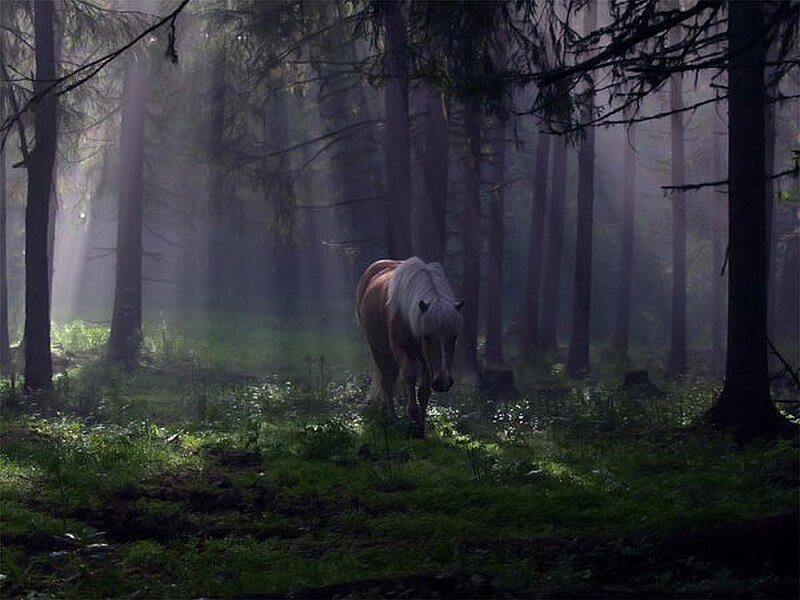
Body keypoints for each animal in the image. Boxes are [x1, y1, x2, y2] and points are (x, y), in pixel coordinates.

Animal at [356, 257, 463, 436]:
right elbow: (409, 376)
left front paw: (421, 427)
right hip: (379, 351)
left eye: (454, 336)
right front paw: (412, 416)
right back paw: (393, 420)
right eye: (427, 337)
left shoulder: (427, 360)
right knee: (387, 382)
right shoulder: (401, 350)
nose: (443, 382)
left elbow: (424, 391)